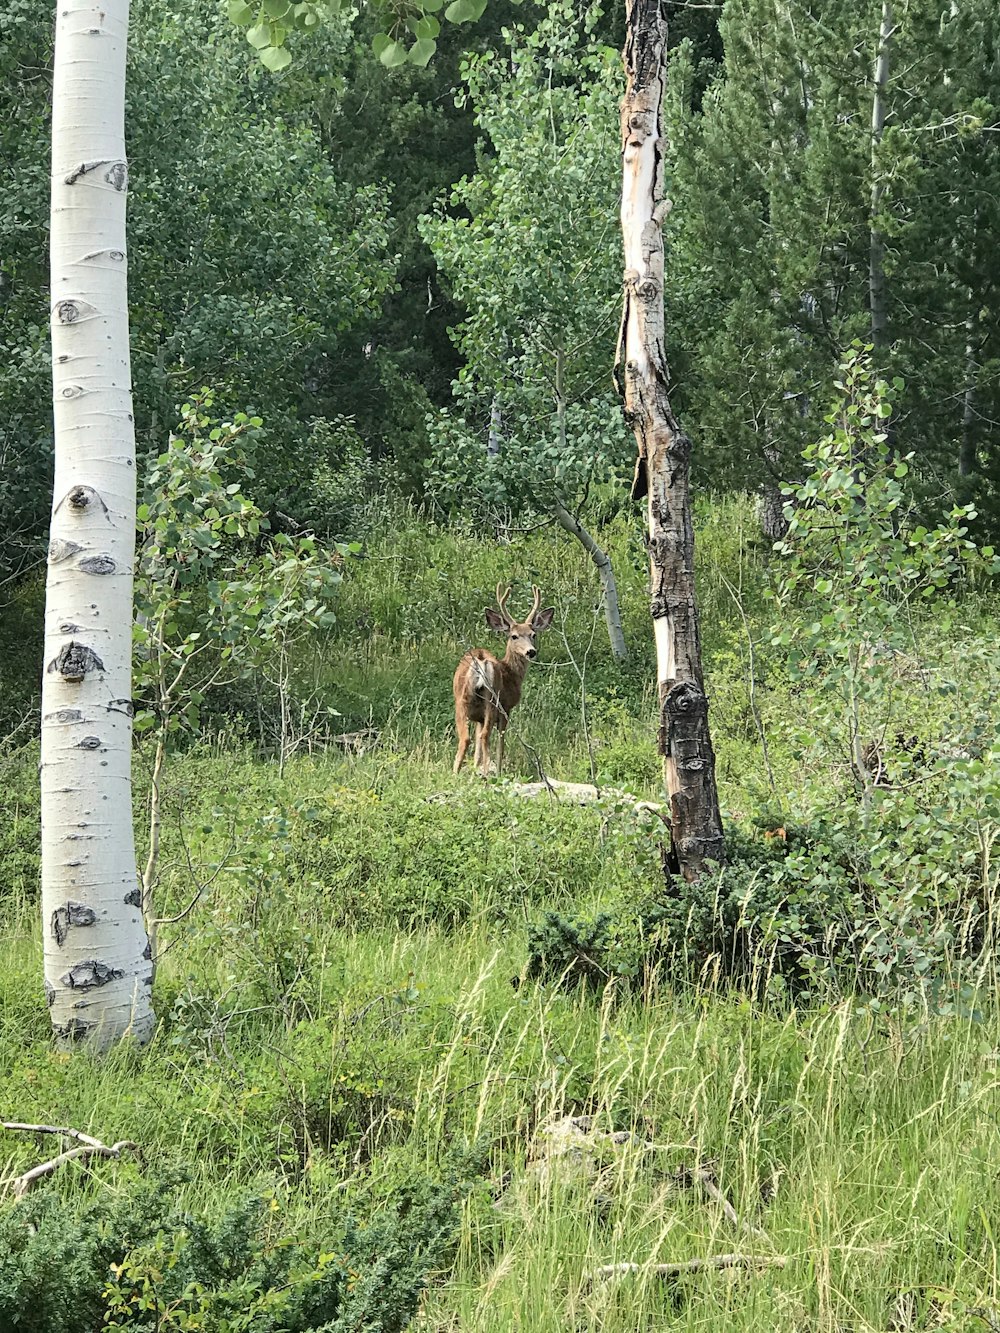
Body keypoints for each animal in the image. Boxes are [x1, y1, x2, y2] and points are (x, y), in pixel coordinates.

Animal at [453, 586, 557, 778]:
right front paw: (498, 769)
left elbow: (477, 748)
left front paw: (475, 769)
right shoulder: (507, 707)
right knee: (485, 736)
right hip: (493, 701)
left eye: (533, 634)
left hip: (463, 701)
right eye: (514, 636)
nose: (531, 651)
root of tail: (480, 661)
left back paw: (455, 774)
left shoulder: (478, 718)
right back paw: (489, 773)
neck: (511, 674)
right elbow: (501, 740)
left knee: (467, 738)